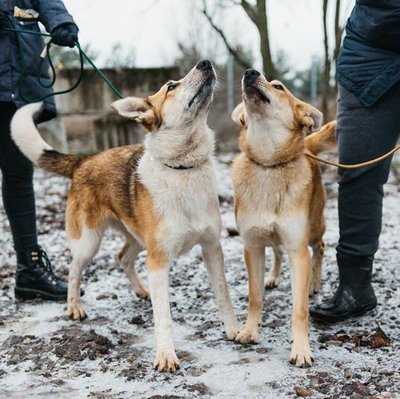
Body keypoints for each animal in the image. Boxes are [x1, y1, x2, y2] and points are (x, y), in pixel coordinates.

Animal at [10, 61, 239, 374]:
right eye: (171, 86)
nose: (205, 63)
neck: (183, 168)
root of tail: (84, 160)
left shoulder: (212, 248)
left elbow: (223, 295)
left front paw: (233, 329)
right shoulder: (158, 261)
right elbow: (163, 316)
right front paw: (166, 355)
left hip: (137, 237)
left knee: (122, 257)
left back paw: (142, 290)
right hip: (89, 241)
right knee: (74, 269)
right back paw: (74, 306)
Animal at [230, 67, 336, 368]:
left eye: (279, 86)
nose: (250, 72)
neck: (268, 165)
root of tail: (308, 147)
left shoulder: (297, 249)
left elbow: (299, 309)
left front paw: (301, 348)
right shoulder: (252, 246)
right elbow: (255, 297)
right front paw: (250, 330)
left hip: (314, 228)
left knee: (320, 249)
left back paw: (314, 283)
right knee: (276, 252)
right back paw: (273, 276)